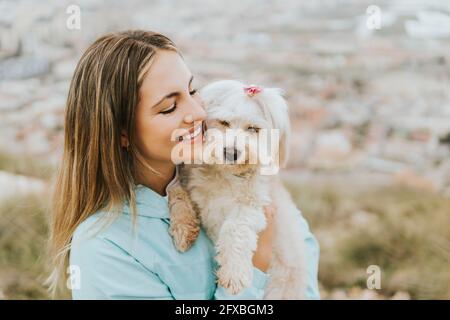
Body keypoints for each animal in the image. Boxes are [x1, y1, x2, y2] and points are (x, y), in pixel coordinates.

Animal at [169, 79, 310, 298]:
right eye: (224, 122)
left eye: (252, 129)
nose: (231, 152)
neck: (225, 174)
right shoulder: (187, 180)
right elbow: (177, 192)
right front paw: (183, 229)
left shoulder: (254, 206)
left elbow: (235, 229)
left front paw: (233, 274)